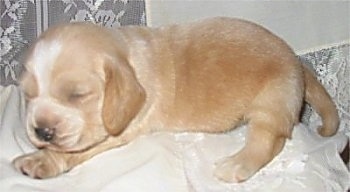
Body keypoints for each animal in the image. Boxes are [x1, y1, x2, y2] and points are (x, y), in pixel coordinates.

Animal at [13, 17, 340, 182]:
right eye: (27, 94)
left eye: (77, 95)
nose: (42, 131)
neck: (126, 55)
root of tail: (297, 62)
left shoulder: (118, 130)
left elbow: (73, 150)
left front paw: (40, 160)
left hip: (271, 102)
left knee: (268, 142)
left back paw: (236, 166)